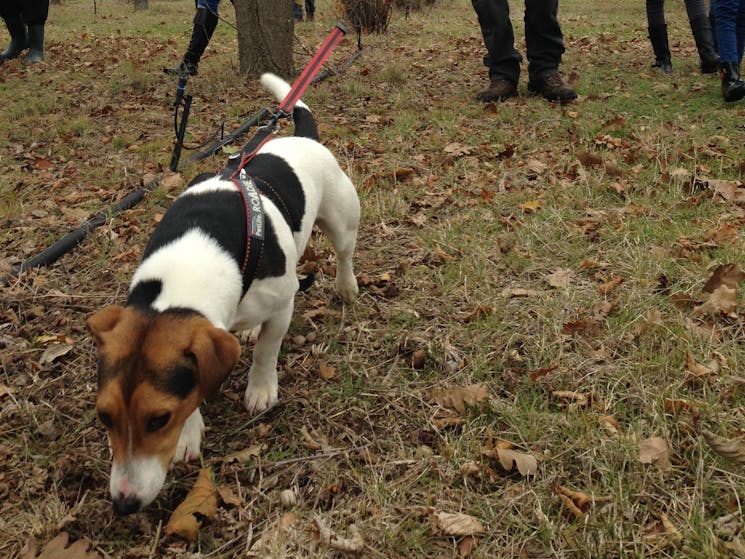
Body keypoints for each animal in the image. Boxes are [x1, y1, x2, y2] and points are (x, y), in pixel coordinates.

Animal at [87, 74, 360, 516]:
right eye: (105, 417)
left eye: (158, 419)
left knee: (344, 253)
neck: (191, 260)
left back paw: (346, 286)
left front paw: (260, 389)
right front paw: (190, 433)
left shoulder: (282, 302)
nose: (124, 504)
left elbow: (267, 350)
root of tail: (303, 137)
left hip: (341, 220)